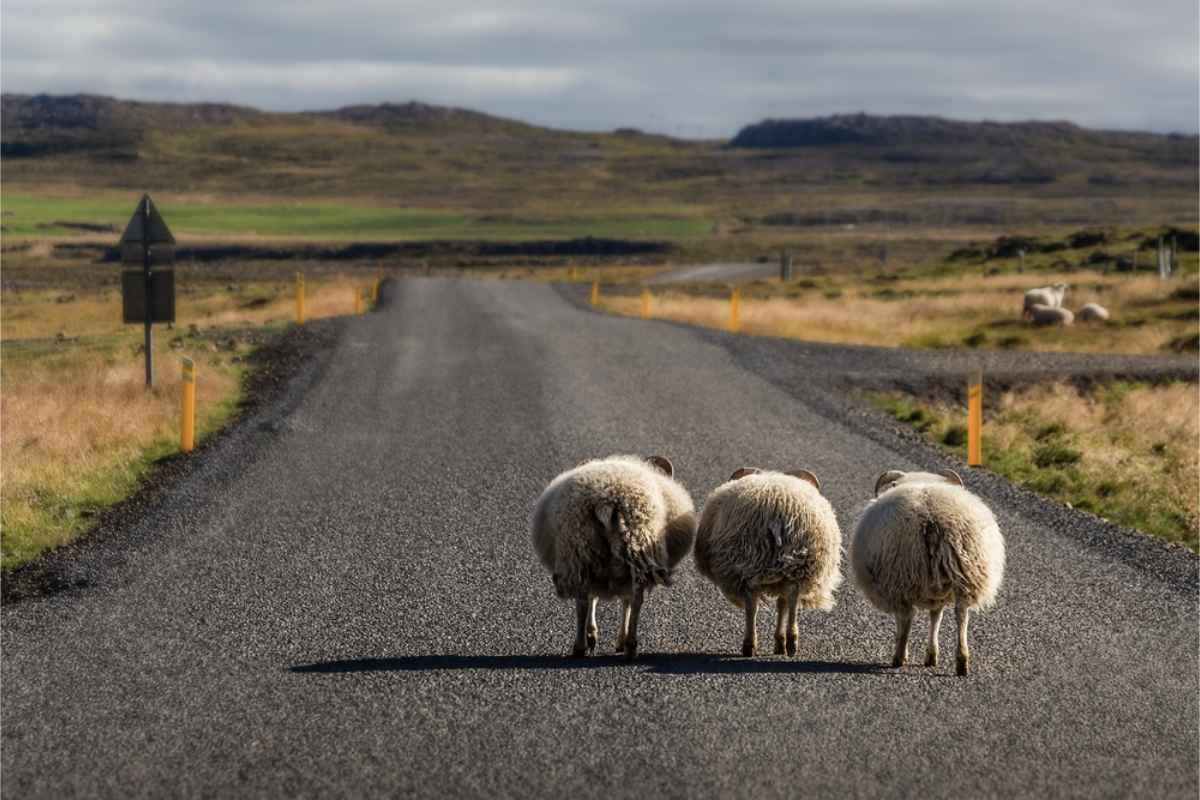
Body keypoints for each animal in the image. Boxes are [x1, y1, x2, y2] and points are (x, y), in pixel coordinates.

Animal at [531, 454, 697, 660]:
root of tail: (606, 501)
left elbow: (600, 598)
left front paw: (596, 636)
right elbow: (624, 601)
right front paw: (616, 640)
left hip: (580, 550)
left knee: (584, 600)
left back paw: (582, 646)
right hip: (631, 547)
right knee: (634, 598)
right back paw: (628, 645)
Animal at [694, 468, 842, 657]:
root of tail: (777, 514)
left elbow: (778, 604)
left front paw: (779, 642)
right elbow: (782, 604)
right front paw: (780, 643)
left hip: (750, 561)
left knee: (752, 605)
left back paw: (750, 645)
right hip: (796, 564)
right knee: (792, 598)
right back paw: (791, 641)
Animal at [850, 469, 1005, 676]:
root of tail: (931, 519)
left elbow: (909, 620)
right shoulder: (937, 591)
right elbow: (936, 617)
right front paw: (932, 656)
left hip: (901, 574)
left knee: (906, 616)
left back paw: (899, 657)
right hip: (967, 574)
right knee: (961, 614)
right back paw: (962, 661)